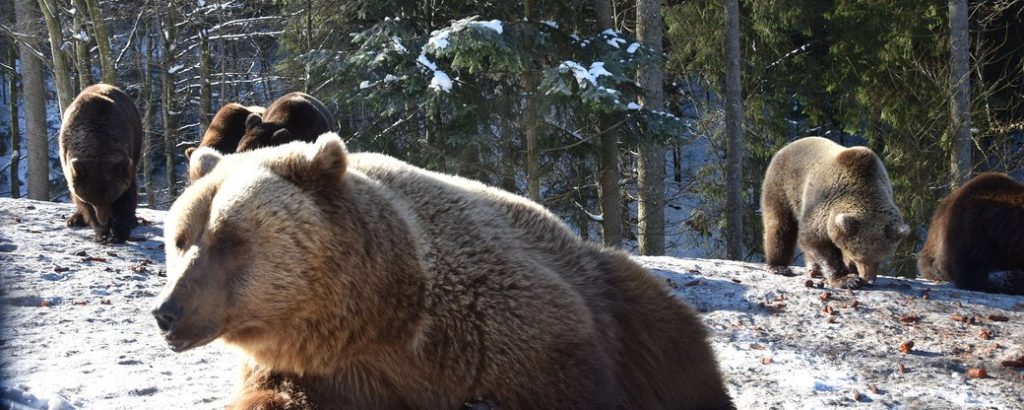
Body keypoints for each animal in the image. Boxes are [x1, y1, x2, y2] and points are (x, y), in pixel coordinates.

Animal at [58, 83, 142, 243]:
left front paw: (119, 231)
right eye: (92, 200)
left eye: (111, 198)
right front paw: (101, 232)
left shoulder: (126, 163)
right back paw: (75, 219)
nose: (104, 220)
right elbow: (82, 202)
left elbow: (127, 196)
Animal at [151, 134, 733, 410]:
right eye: (181, 240)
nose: (166, 312)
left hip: (623, 301)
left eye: (229, 240)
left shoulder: (509, 328)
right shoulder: (327, 370)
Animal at [761, 137, 913, 289]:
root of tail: (786, 147)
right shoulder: (821, 205)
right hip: (782, 187)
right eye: (859, 257)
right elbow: (815, 240)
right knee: (780, 225)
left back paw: (814, 270)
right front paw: (847, 279)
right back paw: (778, 266)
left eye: (880, 258)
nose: (868, 280)